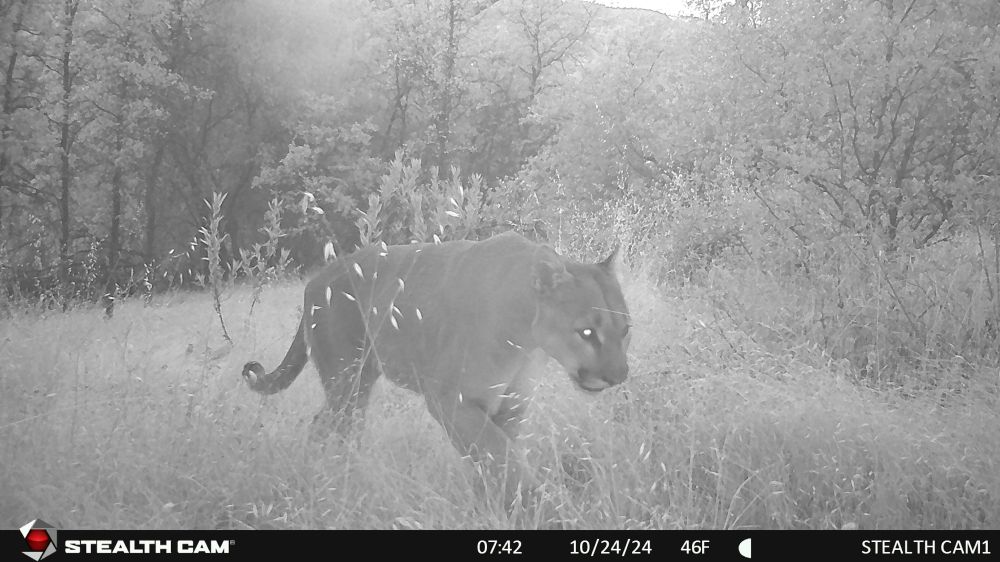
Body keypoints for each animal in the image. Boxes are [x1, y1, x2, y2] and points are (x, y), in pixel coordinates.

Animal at [242, 231, 631, 511]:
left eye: (625, 329)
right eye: (586, 332)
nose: (618, 376)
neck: (525, 338)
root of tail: (315, 280)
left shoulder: (510, 406)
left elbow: (496, 457)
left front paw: (493, 505)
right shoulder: (449, 399)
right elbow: (500, 454)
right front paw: (540, 504)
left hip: (358, 380)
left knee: (326, 423)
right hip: (346, 380)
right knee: (333, 425)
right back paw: (337, 475)